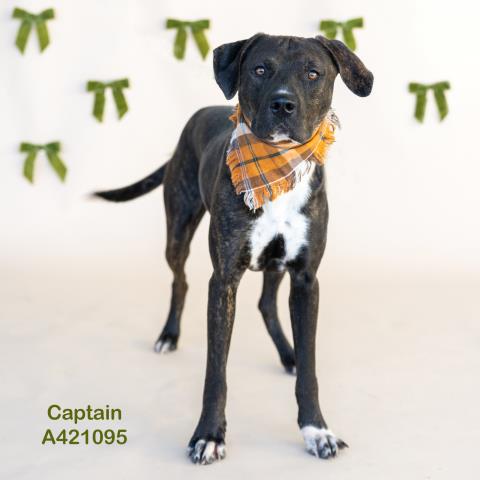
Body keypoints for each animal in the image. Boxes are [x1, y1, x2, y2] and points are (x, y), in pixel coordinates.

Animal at [94, 33, 373, 465]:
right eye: (260, 69)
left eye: (313, 73)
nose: (283, 104)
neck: (279, 170)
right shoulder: (223, 279)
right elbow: (216, 371)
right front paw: (208, 435)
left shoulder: (306, 278)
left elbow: (310, 368)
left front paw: (316, 430)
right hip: (178, 227)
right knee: (180, 281)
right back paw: (168, 336)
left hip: (277, 264)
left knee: (266, 303)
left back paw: (288, 355)